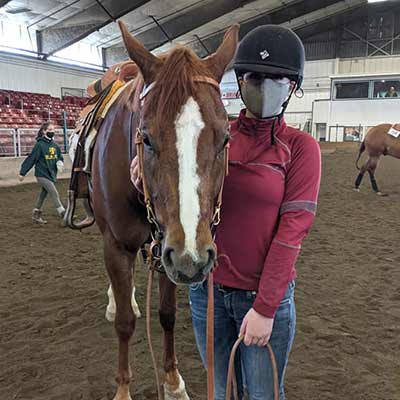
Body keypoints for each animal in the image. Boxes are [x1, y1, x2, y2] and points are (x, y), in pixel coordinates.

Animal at [89, 22, 239, 400]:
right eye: (146, 137)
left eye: (225, 138)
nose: (193, 259)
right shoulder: (121, 246)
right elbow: (126, 323)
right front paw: (123, 389)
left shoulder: (167, 252)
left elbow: (168, 314)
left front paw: (173, 382)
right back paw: (116, 301)